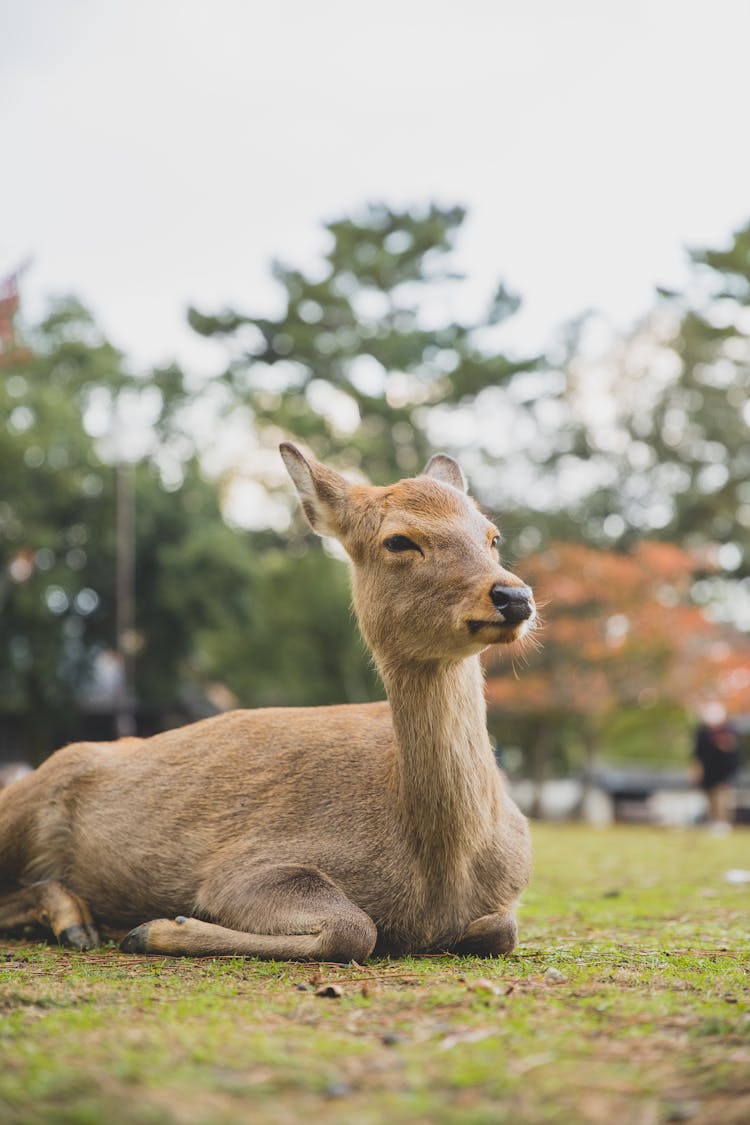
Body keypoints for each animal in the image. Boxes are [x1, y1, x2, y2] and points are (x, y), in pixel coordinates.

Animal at [1, 443, 539, 963]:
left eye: (491, 536)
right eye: (399, 540)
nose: (514, 596)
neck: (440, 872)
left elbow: (502, 929)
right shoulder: (245, 867)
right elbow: (354, 928)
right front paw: (157, 928)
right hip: (21, 808)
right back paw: (77, 921)